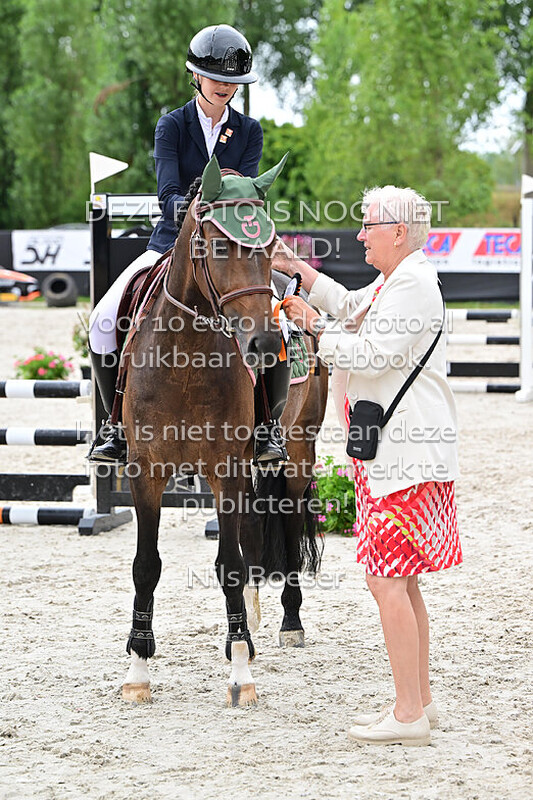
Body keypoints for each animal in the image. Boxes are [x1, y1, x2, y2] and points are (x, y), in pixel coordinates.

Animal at [119, 154, 328, 706]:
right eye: (217, 246)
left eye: (268, 245)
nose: (266, 345)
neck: (186, 356)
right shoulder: (146, 471)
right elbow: (146, 564)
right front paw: (138, 668)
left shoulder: (227, 469)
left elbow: (228, 564)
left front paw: (240, 674)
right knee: (255, 525)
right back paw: (251, 624)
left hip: (297, 451)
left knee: (289, 519)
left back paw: (288, 622)